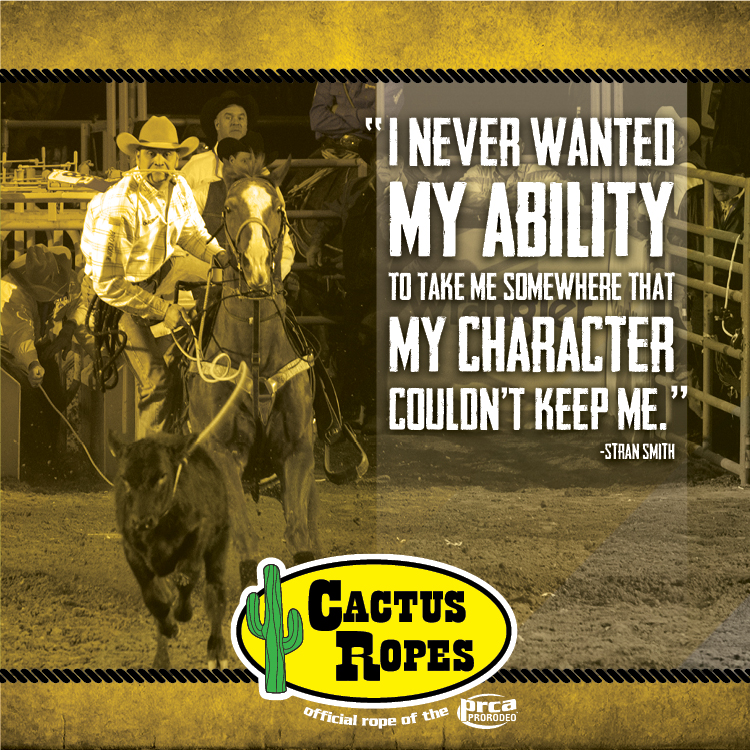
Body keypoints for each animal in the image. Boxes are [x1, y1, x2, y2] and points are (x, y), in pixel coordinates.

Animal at [108, 431, 232, 669]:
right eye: (125, 478)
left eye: (161, 476)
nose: (141, 521)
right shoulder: (130, 547)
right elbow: (154, 598)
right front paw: (170, 627)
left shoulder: (200, 530)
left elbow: (186, 577)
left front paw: (183, 614)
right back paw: (161, 659)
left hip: (219, 544)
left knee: (215, 596)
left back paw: (217, 652)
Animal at [187, 156, 320, 587]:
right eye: (229, 208)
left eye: (277, 208)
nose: (258, 267)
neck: (258, 356)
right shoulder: (222, 453)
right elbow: (245, 539)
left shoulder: (298, 451)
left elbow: (299, 534)